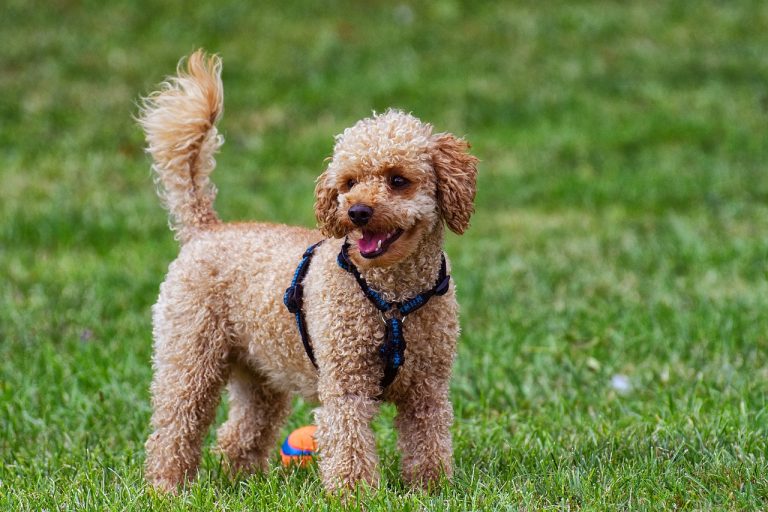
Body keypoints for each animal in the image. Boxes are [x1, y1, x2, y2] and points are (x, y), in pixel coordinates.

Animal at [136, 51, 476, 492]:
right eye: (348, 183)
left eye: (398, 179)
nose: (356, 211)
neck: (393, 298)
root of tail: (205, 228)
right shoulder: (346, 381)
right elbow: (348, 441)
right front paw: (354, 494)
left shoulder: (428, 388)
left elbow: (428, 440)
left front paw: (430, 489)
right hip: (191, 355)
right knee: (174, 427)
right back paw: (167, 487)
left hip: (260, 369)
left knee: (239, 432)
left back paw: (244, 482)